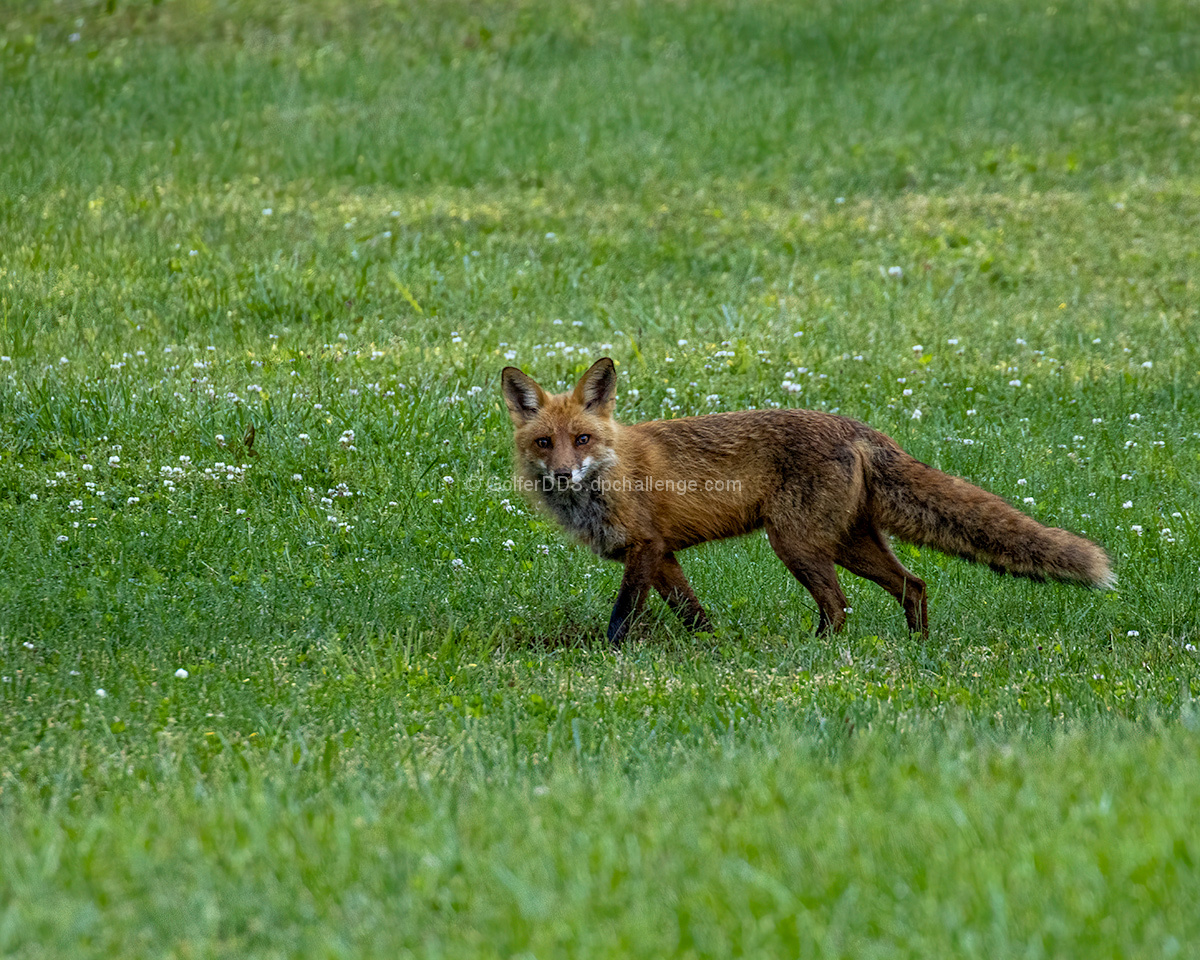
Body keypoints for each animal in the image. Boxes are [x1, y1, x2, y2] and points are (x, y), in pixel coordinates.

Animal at [499, 355, 1113, 643]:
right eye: (544, 443)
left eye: (582, 439)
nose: (562, 475)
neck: (613, 471)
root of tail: (857, 427)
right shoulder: (664, 555)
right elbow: (695, 616)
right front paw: (714, 653)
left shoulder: (644, 548)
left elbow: (622, 617)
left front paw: (609, 659)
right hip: (846, 543)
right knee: (913, 585)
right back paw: (917, 648)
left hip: (796, 543)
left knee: (839, 607)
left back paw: (819, 654)